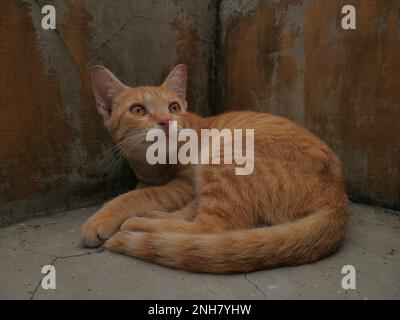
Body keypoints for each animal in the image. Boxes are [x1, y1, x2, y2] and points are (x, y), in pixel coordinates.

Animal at [80, 64, 346, 272]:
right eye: (138, 110)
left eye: (174, 107)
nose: (166, 121)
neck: (153, 165)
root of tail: (338, 196)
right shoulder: (152, 180)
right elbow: (140, 191)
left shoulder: (184, 185)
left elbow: (136, 196)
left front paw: (101, 218)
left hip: (222, 159)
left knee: (211, 227)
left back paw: (141, 223)